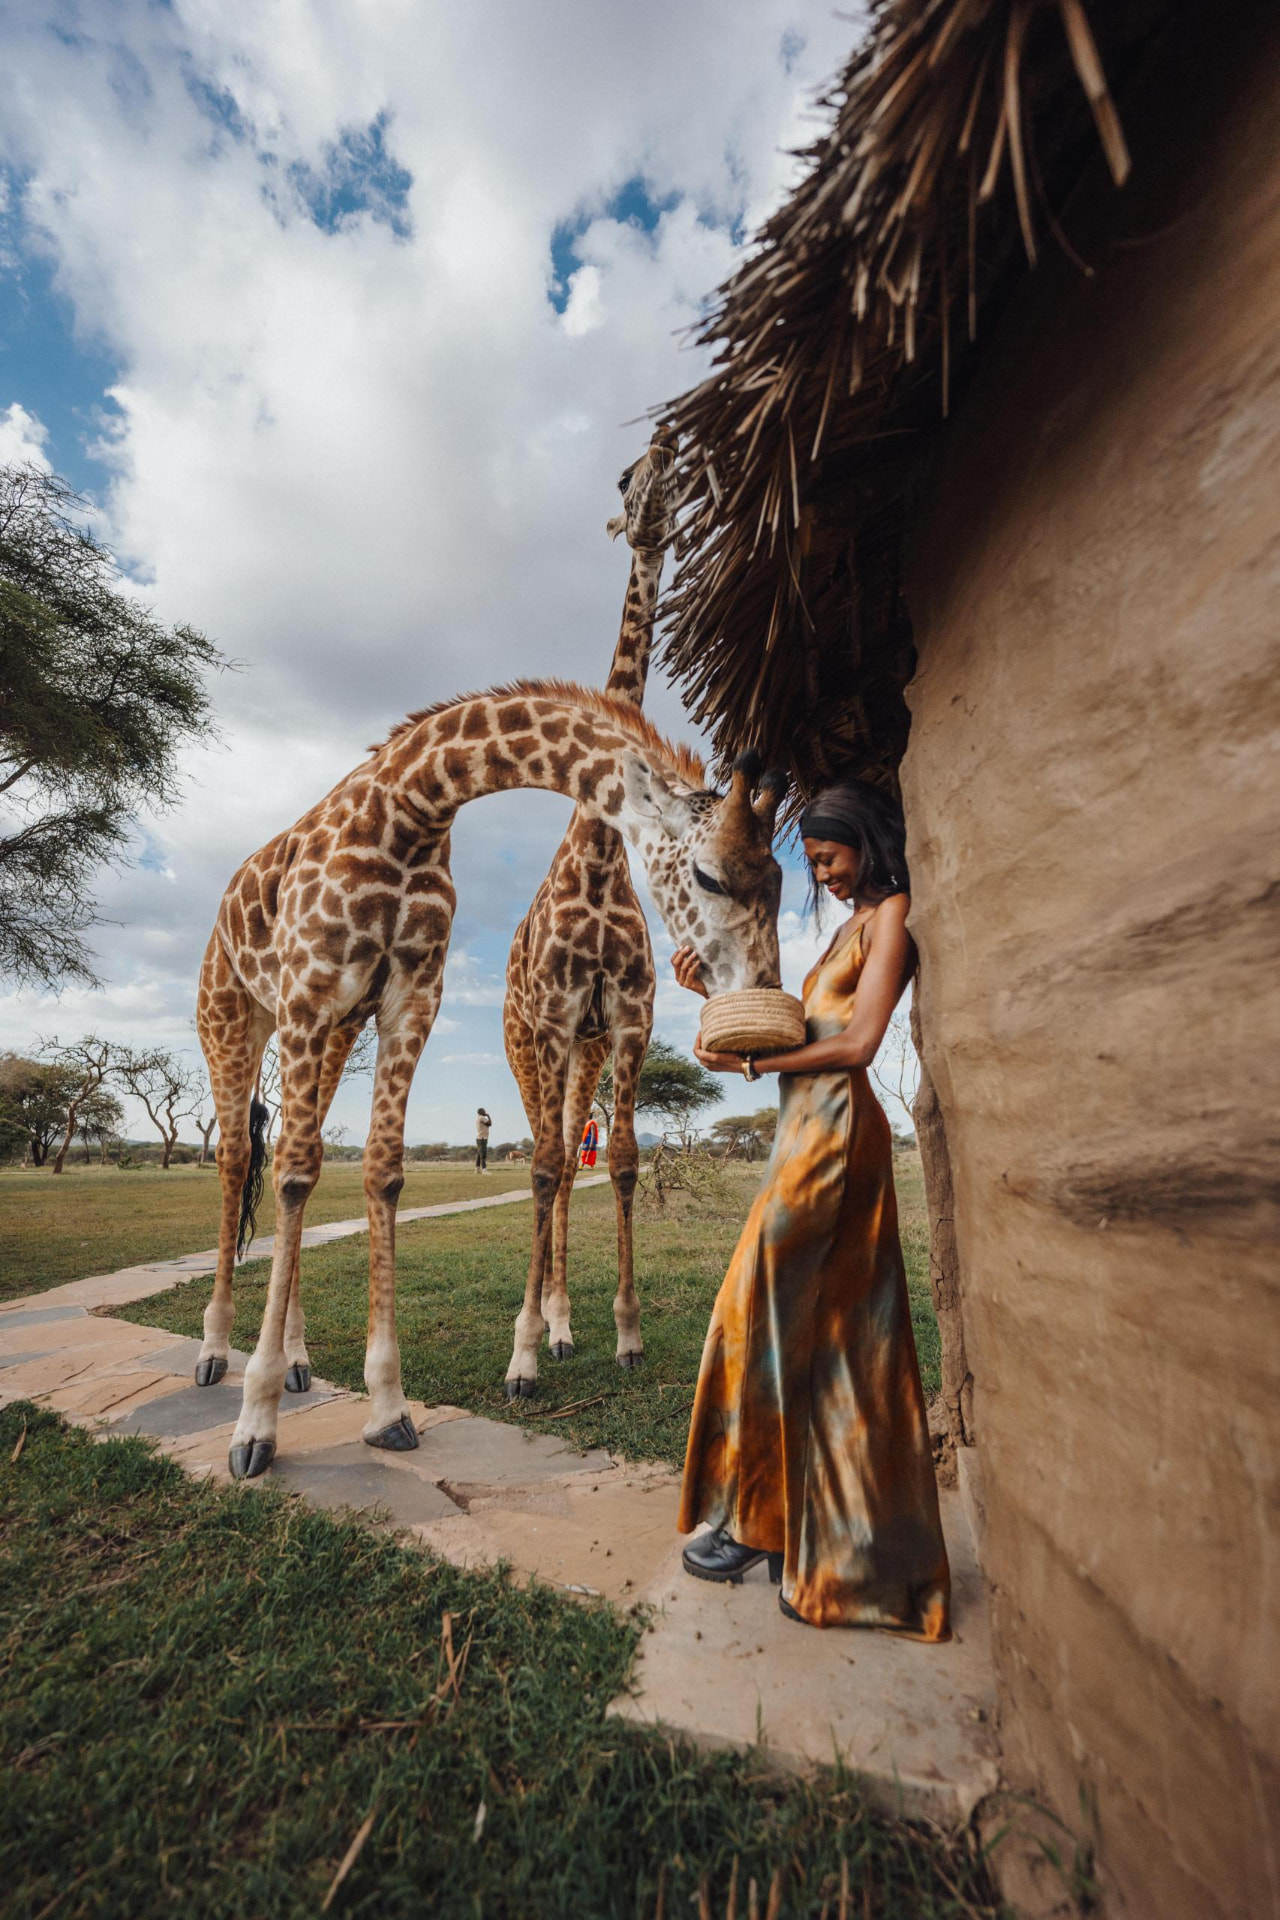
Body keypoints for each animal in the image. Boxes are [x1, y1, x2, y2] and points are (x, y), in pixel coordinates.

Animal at [196, 682, 785, 1478]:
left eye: (780, 879)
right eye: (709, 876)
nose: (761, 999)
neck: (408, 811)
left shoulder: (408, 998)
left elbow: (380, 1172)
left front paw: (388, 1408)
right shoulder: (311, 991)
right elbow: (289, 1175)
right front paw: (255, 1428)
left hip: (333, 1032)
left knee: (300, 1154)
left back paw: (296, 1360)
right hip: (239, 1018)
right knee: (239, 1159)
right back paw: (215, 1353)